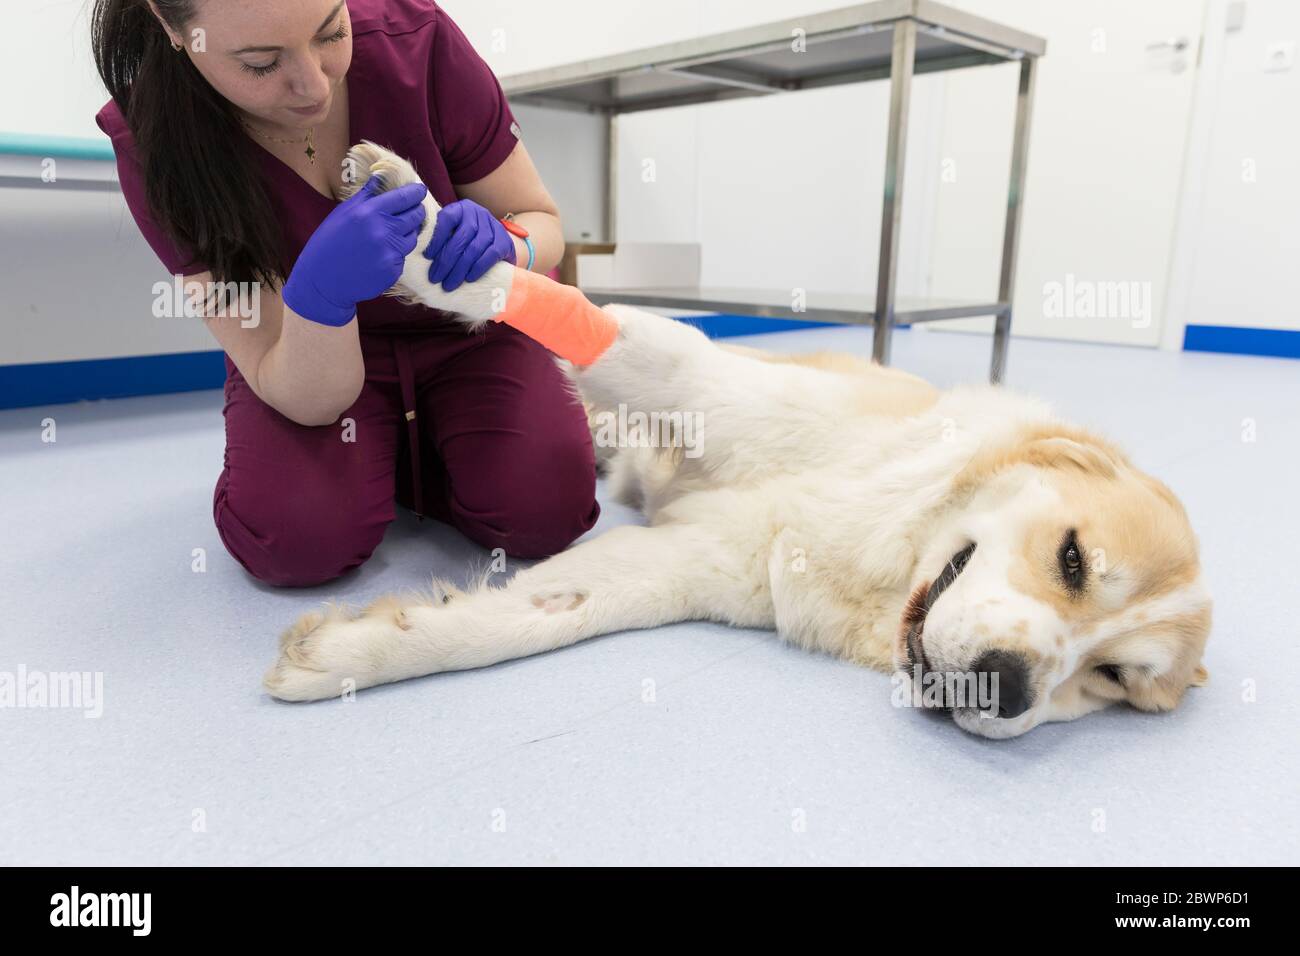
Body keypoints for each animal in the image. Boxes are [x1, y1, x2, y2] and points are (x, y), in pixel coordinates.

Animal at [258, 141, 1211, 738]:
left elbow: (520, 621)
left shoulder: (674, 566)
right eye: (1073, 559)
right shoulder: (693, 379)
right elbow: (526, 296)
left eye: (1113, 679)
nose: (1008, 689)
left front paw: (350, 652)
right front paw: (416, 228)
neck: (884, 543)